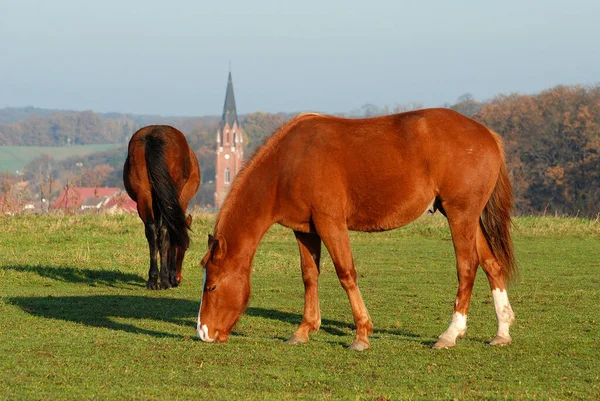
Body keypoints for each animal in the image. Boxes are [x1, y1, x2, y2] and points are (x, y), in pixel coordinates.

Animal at [123, 124, 200, 288]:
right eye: (185, 246)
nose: (178, 278)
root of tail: (154, 136)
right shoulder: (180, 201)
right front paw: (169, 277)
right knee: (165, 231)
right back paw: (164, 279)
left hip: (143, 195)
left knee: (151, 231)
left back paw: (153, 279)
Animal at [196, 108, 516, 348]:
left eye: (212, 286)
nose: (203, 332)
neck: (288, 163)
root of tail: (487, 134)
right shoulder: (305, 230)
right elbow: (309, 275)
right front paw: (304, 330)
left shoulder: (331, 223)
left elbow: (346, 274)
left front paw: (361, 333)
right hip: (469, 218)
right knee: (491, 265)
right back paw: (502, 331)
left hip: (460, 215)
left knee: (467, 268)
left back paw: (450, 333)